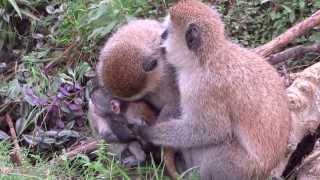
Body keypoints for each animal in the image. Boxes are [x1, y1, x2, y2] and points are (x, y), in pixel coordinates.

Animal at [131, 0, 292, 179]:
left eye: (166, 33)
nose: (160, 37)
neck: (208, 57)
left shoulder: (201, 88)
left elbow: (211, 130)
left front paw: (147, 132)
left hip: (238, 168)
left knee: (215, 148)